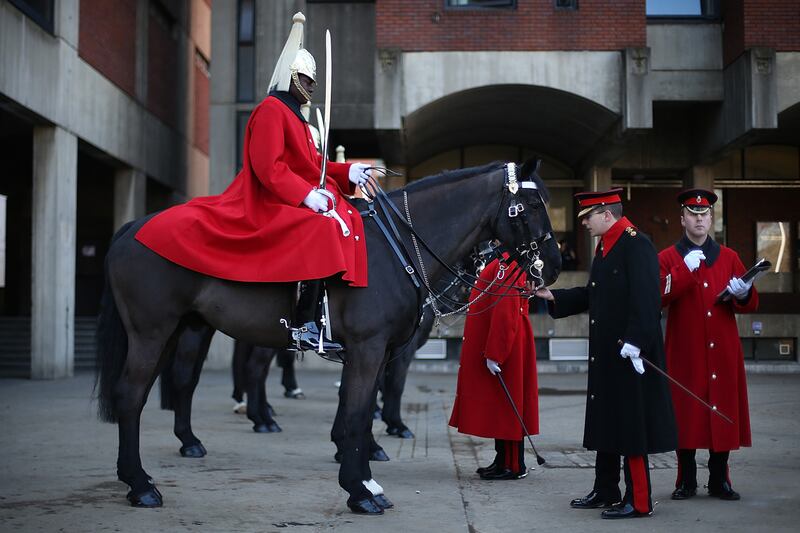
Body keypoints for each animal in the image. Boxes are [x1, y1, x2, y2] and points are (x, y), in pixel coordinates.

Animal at [95, 160, 556, 512]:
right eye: (532, 205)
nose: (552, 265)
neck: (399, 250)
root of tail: (133, 227)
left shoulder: (377, 351)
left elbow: (363, 409)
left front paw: (366, 477)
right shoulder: (373, 349)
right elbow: (358, 410)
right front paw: (359, 489)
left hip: (182, 328)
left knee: (173, 383)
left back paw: (184, 446)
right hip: (152, 332)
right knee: (134, 394)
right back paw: (141, 484)